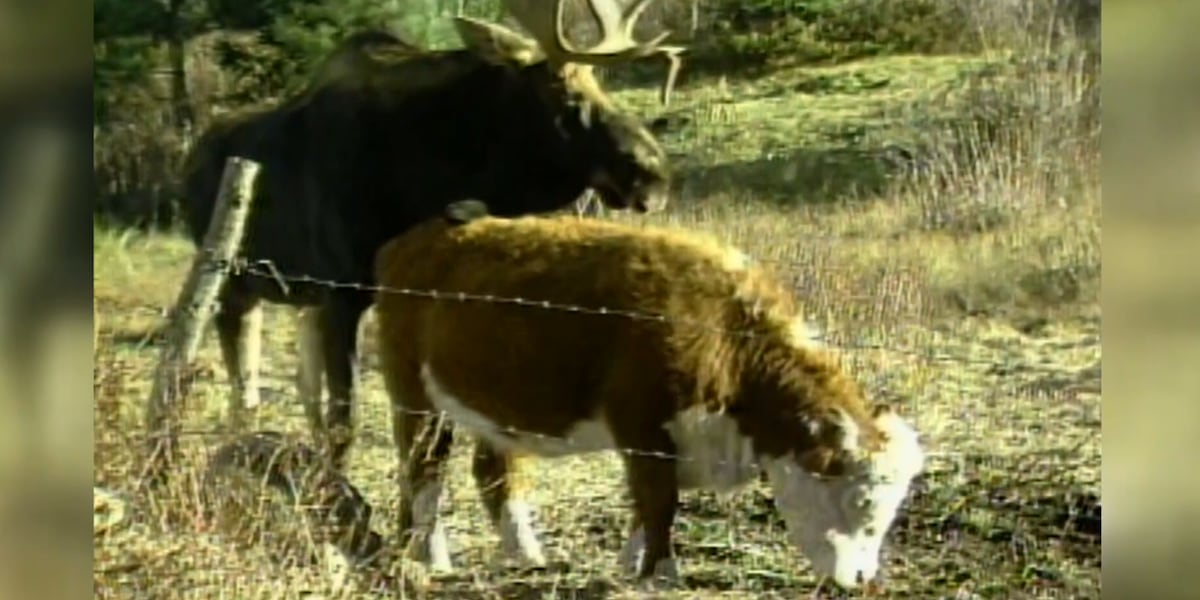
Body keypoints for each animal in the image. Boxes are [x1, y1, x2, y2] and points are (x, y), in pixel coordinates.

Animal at [180, 0, 686, 472]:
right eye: (566, 94)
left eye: (601, 84)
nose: (655, 175)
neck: (436, 174)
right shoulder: (344, 290)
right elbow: (348, 420)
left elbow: (428, 430)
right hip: (233, 279)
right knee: (243, 378)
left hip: (299, 297)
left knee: (299, 381)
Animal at [370, 201, 926, 591]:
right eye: (862, 501)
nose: (861, 580)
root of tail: (413, 239)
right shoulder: (643, 424)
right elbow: (659, 499)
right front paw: (662, 572)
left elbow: (645, 502)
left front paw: (631, 561)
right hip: (414, 393)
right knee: (422, 467)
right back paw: (427, 554)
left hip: (494, 407)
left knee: (492, 471)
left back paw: (524, 554)